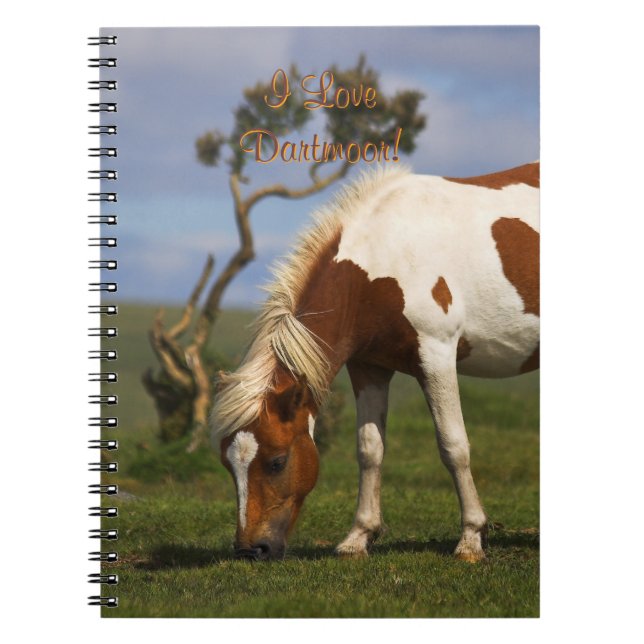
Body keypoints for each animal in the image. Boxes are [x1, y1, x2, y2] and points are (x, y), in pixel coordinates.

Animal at [211, 161, 539, 561]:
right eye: (228, 463)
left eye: (277, 461)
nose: (251, 549)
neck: (382, 259)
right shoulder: (368, 367)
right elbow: (370, 449)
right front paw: (359, 537)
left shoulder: (436, 355)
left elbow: (454, 446)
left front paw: (471, 539)